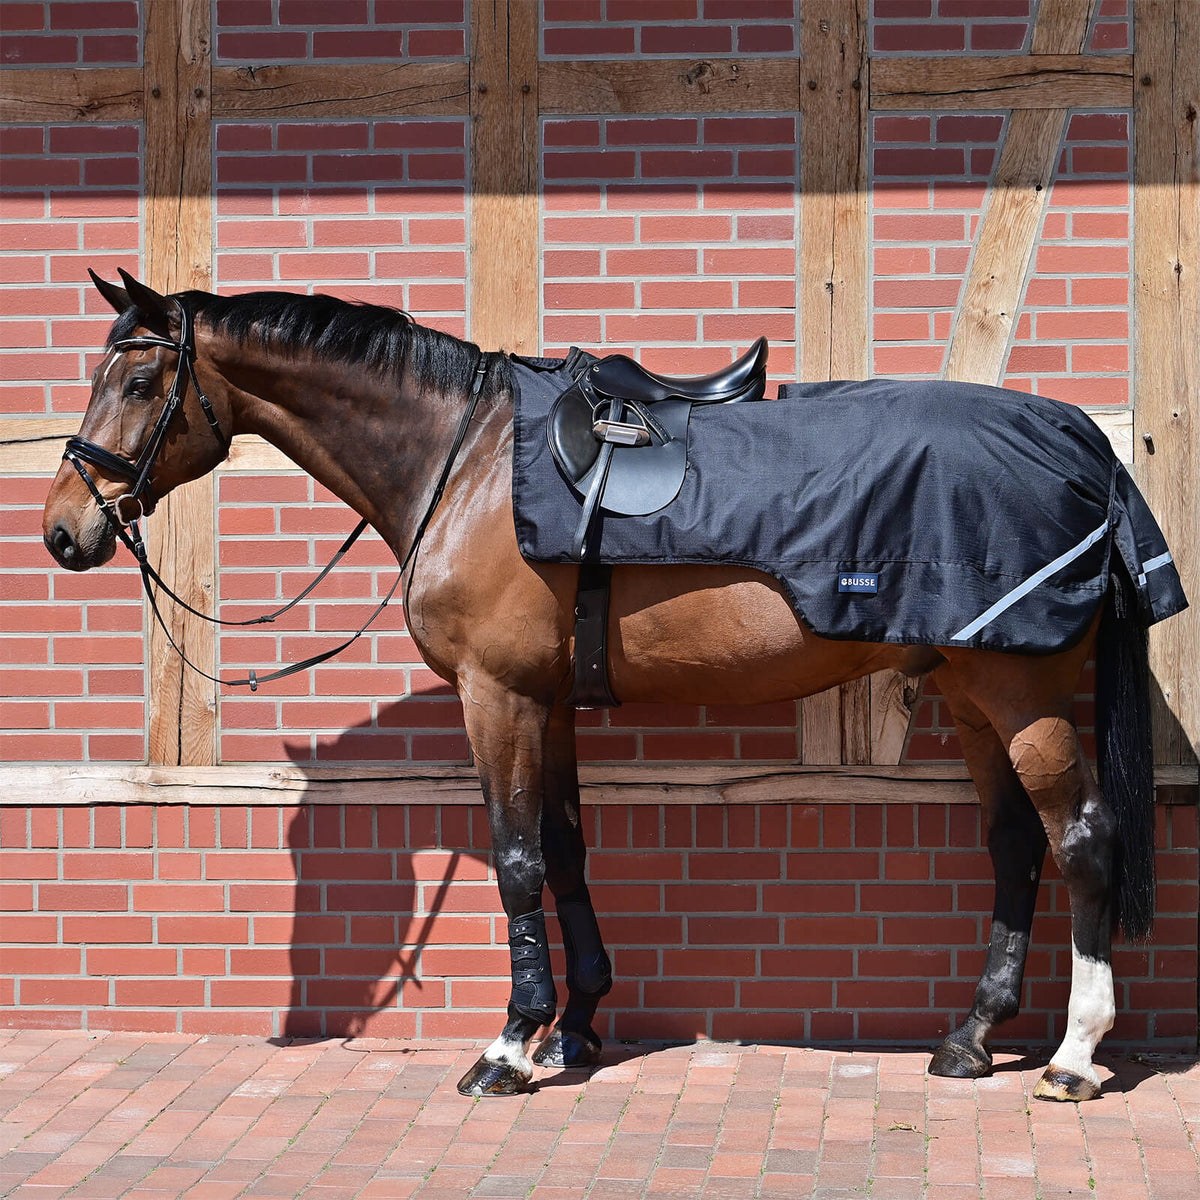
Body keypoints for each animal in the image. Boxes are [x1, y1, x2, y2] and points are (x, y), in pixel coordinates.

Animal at [43, 270, 1163, 1103]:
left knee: (1081, 840)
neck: (469, 459)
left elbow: (515, 861)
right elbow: (567, 850)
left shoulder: (495, 695)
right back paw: (970, 1036)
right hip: (974, 694)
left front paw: (508, 1046)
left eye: (137, 385)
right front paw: (577, 1025)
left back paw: (1074, 1056)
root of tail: (1081, 442)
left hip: (1021, 696)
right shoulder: (547, 701)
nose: (64, 530)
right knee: (1016, 846)